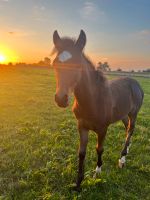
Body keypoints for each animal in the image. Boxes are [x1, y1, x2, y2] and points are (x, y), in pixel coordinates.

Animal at [51, 29, 144, 191]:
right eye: (55, 64)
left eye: (77, 65)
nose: (61, 99)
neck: (92, 101)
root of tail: (135, 82)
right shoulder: (82, 126)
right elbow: (81, 153)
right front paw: (78, 183)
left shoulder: (102, 129)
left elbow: (99, 149)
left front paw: (97, 172)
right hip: (123, 114)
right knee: (127, 130)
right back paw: (127, 150)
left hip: (133, 113)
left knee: (130, 130)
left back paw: (122, 159)